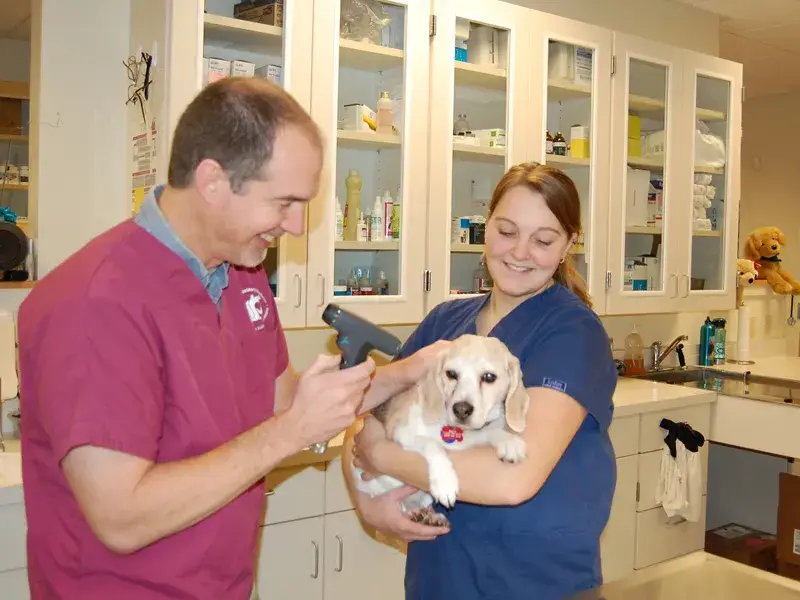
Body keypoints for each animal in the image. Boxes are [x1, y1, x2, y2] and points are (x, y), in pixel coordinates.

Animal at [352, 336, 532, 528]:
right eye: (451, 374)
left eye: (489, 377)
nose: (461, 409)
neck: (459, 432)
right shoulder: (403, 433)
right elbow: (433, 444)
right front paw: (445, 482)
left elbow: (492, 432)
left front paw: (509, 441)